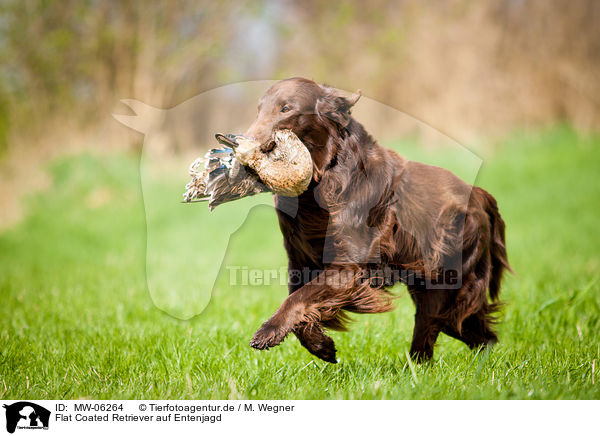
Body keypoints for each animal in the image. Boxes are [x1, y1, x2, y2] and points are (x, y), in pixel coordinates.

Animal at [241, 76, 508, 362]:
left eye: (286, 109)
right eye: (258, 110)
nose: (246, 145)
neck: (318, 188)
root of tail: (479, 195)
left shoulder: (348, 268)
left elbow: (299, 298)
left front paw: (269, 330)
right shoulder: (299, 261)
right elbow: (299, 301)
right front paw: (322, 346)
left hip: (446, 283)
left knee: (449, 328)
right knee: (472, 336)